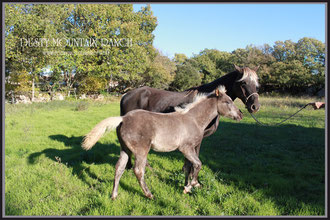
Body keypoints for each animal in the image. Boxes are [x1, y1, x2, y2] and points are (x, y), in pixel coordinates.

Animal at [82, 86, 242, 199]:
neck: (193, 119)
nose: (240, 114)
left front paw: (185, 187)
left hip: (125, 149)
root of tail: (123, 118)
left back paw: (114, 195)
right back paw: (149, 194)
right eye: (227, 102)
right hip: (141, 151)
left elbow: (188, 166)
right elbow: (198, 164)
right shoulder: (186, 148)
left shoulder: (189, 150)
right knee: (138, 170)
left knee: (119, 168)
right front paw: (191, 186)